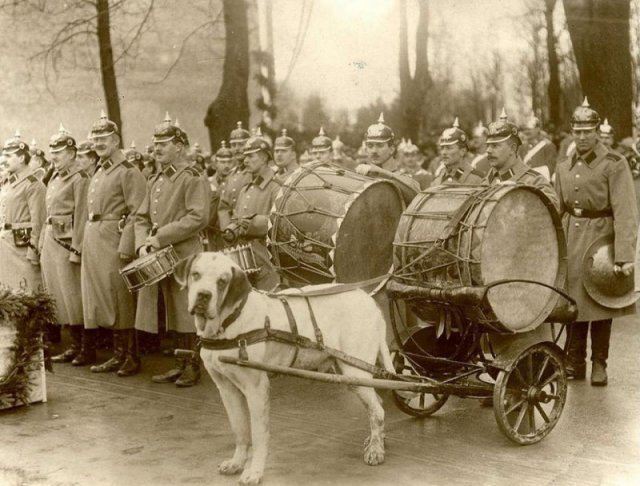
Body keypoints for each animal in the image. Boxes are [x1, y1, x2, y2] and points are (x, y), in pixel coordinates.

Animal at [175, 252, 396, 484]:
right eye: (195, 274)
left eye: (222, 281)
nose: (203, 295)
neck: (228, 323)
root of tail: (370, 301)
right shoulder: (227, 390)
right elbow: (240, 429)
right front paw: (237, 462)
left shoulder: (256, 389)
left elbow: (258, 434)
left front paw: (254, 472)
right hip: (350, 373)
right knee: (376, 404)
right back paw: (377, 441)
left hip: (355, 371)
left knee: (377, 410)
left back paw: (376, 450)